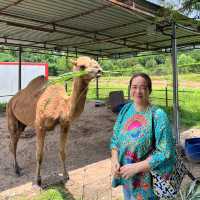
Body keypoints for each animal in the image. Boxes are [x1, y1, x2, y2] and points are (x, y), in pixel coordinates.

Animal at [7, 56, 102, 186]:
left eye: (96, 63)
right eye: (82, 66)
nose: (99, 70)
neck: (61, 106)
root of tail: (12, 99)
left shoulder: (65, 124)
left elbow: (62, 152)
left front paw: (66, 176)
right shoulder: (40, 126)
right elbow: (39, 154)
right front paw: (38, 180)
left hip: (22, 123)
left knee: (14, 141)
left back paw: (17, 167)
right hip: (10, 116)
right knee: (13, 142)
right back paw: (16, 170)